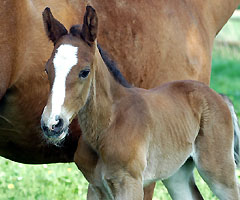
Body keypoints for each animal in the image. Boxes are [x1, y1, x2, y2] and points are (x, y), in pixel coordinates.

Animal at [0, 0, 240, 198]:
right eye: (47, 69)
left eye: (85, 72)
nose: (52, 124)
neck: (108, 126)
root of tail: (220, 97)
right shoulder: (96, 187)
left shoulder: (133, 183)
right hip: (178, 174)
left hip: (217, 170)